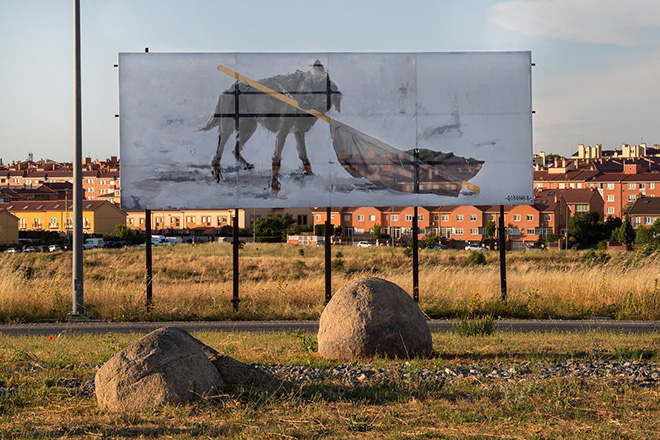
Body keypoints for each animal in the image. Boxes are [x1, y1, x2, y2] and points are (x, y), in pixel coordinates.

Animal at [200, 60, 342, 191]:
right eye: (305, 87)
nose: (301, 104)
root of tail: (226, 90)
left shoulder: (298, 132)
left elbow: (304, 156)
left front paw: (310, 174)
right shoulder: (282, 132)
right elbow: (276, 159)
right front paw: (274, 183)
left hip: (249, 128)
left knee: (235, 148)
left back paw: (244, 165)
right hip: (228, 129)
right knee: (218, 154)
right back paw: (217, 174)